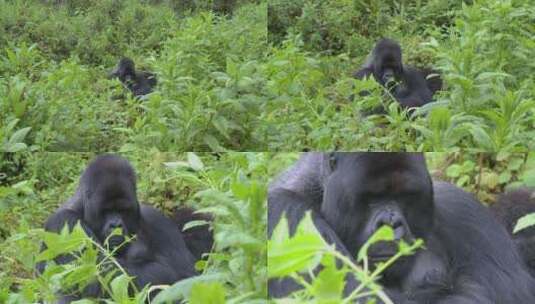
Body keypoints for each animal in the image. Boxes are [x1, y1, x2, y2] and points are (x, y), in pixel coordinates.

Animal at [39, 156, 199, 302]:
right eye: (106, 211)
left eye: (123, 210)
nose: (116, 225)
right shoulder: (64, 222)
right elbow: (92, 277)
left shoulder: (157, 220)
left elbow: (186, 274)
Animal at [270, 153, 535, 302]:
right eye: (371, 197)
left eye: (406, 196)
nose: (391, 224)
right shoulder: (285, 210)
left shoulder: (463, 208)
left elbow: (513, 290)